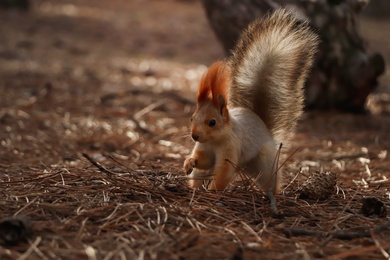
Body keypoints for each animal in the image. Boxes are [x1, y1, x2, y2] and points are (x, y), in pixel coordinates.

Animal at [184, 8, 318, 199]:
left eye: (212, 122)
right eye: (192, 118)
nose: (194, 136)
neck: (214, 140)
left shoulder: (231, 147)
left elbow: (224, 172)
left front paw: (213, 191)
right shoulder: (204, 148)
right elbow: (204, 161)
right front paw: (190, 161)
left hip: (264, 163)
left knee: (270, 179)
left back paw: (272, 194)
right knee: (200, 174)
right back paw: (194, 187)